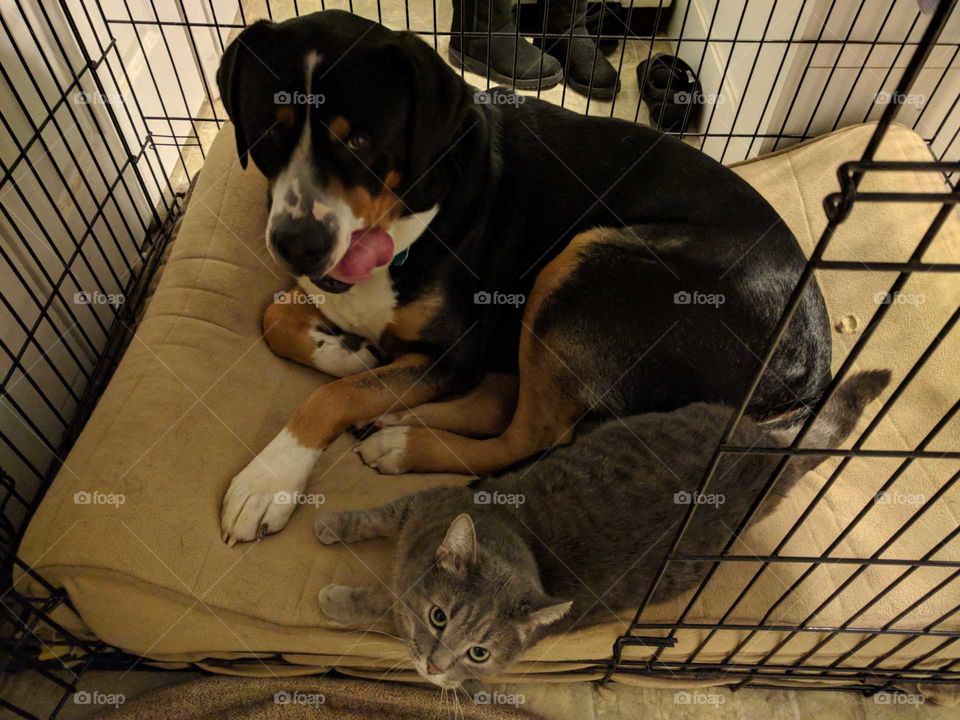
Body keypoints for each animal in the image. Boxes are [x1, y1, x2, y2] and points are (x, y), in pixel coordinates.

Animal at [216, 11, 832, 544]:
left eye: (360, 142)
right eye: (268, 132)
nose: (296, 244)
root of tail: (812, 370)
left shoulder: (457, 353)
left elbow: (333, 397)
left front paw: (268, 479)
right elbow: (275, 317)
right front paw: (344, 353)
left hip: (586, 263)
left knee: (533, 434)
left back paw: (401, 441)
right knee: (503, 402)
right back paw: (393, 414)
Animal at [316, 368, 892, 688]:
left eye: (479, 654)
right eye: (440, 617)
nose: (437, 669)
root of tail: (771, 450)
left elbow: (386, 606)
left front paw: (341, 599)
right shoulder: (430, 501)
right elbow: (378, 515)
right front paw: (331, 523)